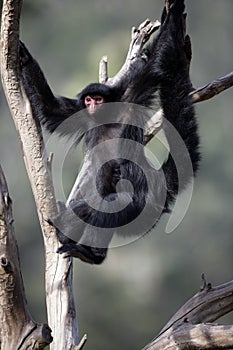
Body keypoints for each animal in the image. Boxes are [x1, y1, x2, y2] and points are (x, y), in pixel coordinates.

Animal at [19, 0, 200, 262]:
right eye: (88, 100)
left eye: (99, 99)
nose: (93, 104)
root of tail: (159, 182)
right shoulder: (81, 113)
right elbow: (50, 109)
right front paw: (23, 57)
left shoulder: (131, 97)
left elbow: (155, 64)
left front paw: (173, 11)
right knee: (88, 205)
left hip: (142, 206)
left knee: (112, 202)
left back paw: (92, 254)